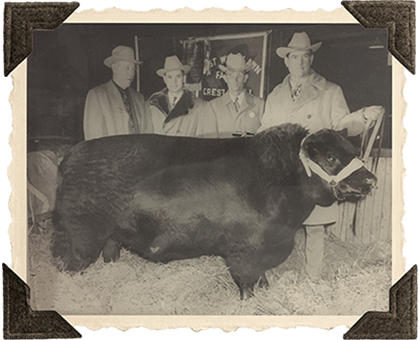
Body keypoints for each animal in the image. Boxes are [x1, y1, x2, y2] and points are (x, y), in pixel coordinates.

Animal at [52, 123, 378, 298]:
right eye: (331, 157)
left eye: (354, 152)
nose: (371, 180)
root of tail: (73, 154)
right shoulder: (244, 251)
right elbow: (248, 283)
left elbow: (262, 279)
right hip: (81, 237)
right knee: (71, 266)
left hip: (112, 235)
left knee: (110, 253)